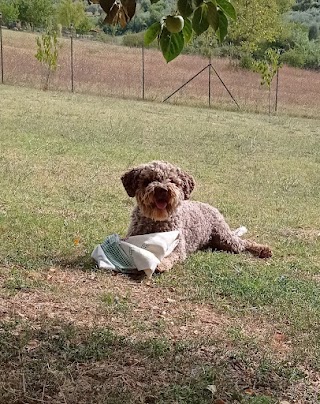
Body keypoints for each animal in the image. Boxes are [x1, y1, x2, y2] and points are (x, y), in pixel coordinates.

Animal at [121, 160, 272, 272]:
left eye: (173, 181)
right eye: (148, 181)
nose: (162, 190)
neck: (157, 221)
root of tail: (212, 207)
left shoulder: (178, 248)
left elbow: (171, 256)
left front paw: (161, 264)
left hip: (226, 238)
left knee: (245, 242)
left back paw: (263, 249)